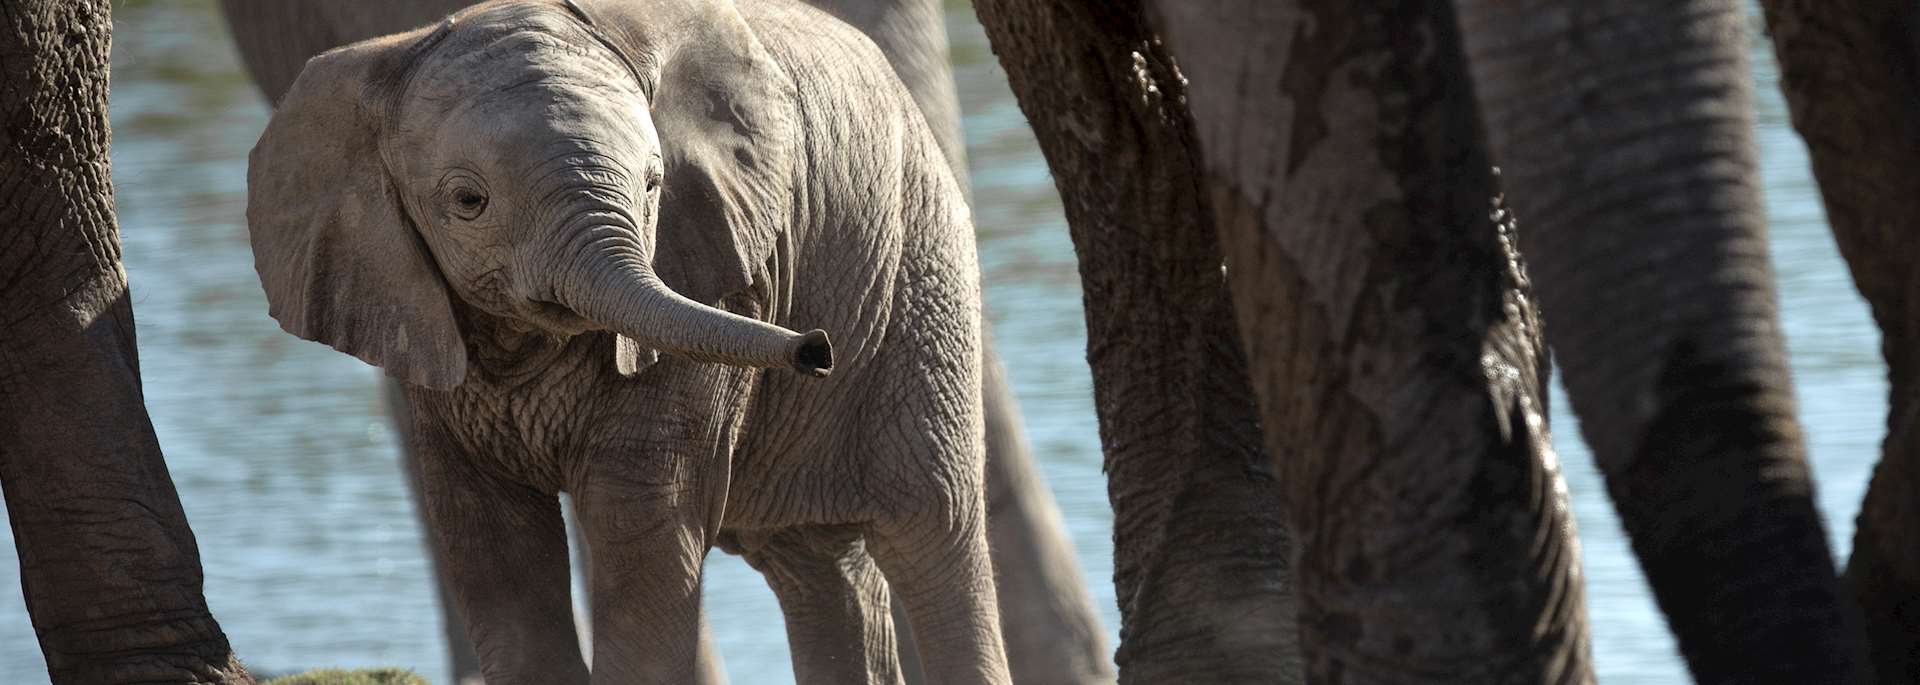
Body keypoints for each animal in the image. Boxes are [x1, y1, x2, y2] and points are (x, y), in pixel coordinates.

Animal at [215, 1, 1113, 683]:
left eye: (653, 186)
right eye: (466, 201)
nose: (814, 347)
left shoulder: (709, 271)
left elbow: (639, 522)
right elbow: (490, 543)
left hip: (925, 265)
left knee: (935, 535)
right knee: (820, 567)